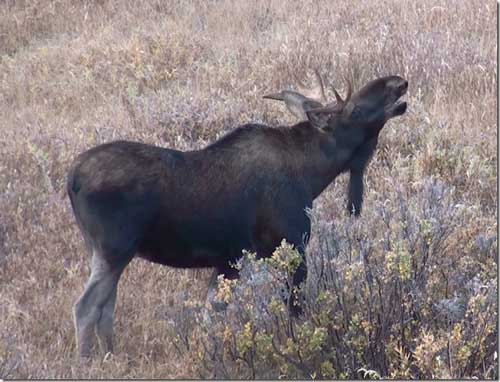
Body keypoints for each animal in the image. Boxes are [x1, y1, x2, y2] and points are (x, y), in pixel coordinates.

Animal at [68, 70, 408, 356]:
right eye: (354, 111)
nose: (398, 83)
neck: (312, 176)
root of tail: (71, 179)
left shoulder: (228, 260)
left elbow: (211, 316)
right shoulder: (293, 245)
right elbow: (297, 313)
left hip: (104, 252)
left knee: (106, 307)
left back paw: (110, 356)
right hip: (114, 249)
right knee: (86, 307)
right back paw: (86, 362)